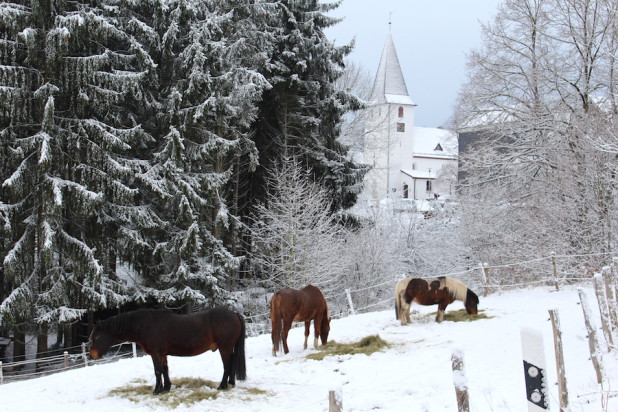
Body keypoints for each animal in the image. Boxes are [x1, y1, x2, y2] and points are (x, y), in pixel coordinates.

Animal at [88, 308, 245, 394]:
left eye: (96, 336)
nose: (92, 355)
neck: (146, 325)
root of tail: (234, 314)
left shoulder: (156, 354)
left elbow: (158, 371)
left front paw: (157, 390)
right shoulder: (162, 354)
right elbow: (165, 370)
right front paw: (166, 388)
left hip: (224, 348)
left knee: (227, 366)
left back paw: (222, 386)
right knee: (231, 365)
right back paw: (231, 383)